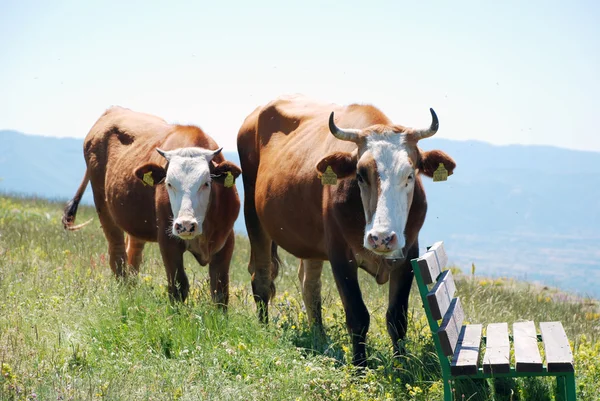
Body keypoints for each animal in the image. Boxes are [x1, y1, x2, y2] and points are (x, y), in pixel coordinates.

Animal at [63, 106, 241, 304]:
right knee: (117, 254)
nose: (186, 225)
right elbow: (178, 286)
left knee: (133, 255)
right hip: (104, 206)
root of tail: (112, 110)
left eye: (206, 183)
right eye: (169, 183)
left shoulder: (226, 240)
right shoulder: (168, 240)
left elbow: (220, 292)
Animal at [237, 95, 458, 364]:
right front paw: (360, 367)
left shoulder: (408, 254)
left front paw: (401, 365)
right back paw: (265, 329)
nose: (381, 238)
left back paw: (320, 340)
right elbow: (358, 315)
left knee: (309, 287)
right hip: (253, 216)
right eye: (360, 174)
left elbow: (397, 317)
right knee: (261, 278)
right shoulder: (340, 255)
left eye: (409, 175)